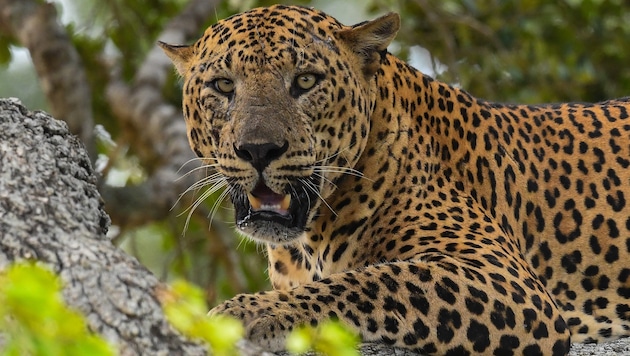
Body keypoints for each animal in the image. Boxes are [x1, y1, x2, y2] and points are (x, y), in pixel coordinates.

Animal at [159, 4, 630, 354]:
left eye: (306, 81)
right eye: (223, 86)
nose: (258, 150)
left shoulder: (504, 278)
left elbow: (374, 280)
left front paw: (254, 311)